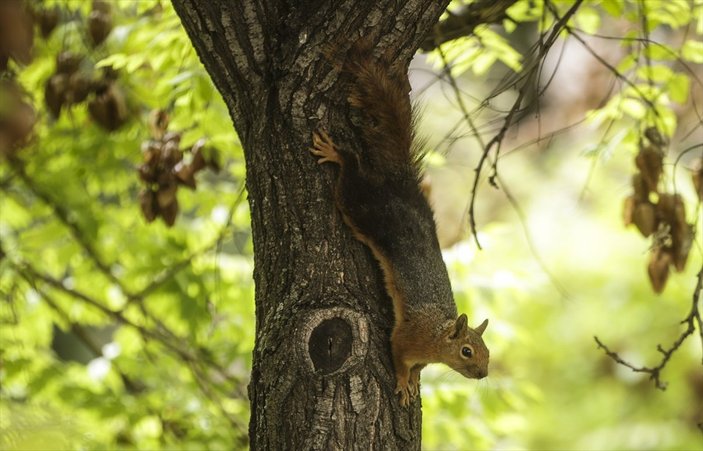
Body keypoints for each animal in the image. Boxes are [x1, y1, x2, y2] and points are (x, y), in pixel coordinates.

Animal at [310, 42, 490, 408]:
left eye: (487, 353)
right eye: (467, 351)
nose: (484, 374)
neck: (435, 336)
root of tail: (400, 183)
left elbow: (418, 367)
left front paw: (417, 378)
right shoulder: (406, 338)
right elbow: (398, 357)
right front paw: (405, 383)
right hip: (359, 205)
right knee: (351, 175)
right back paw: (337, 154)